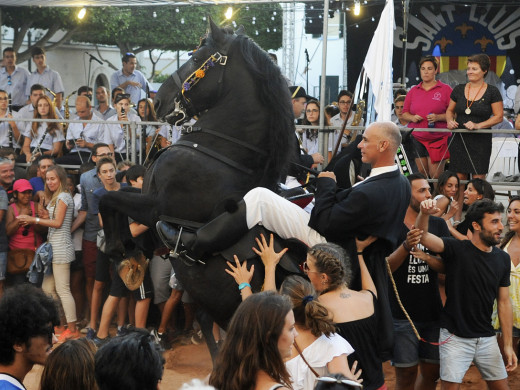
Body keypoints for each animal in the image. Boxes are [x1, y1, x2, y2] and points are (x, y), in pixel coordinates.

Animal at [99, 19, 298, 348]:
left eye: (195, 58)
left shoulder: (156, 208)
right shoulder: (145, 194)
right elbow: (113, 194)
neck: (218, 152)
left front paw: (120, 249)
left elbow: (107, 198)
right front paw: (128, 249)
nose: (157, 101)